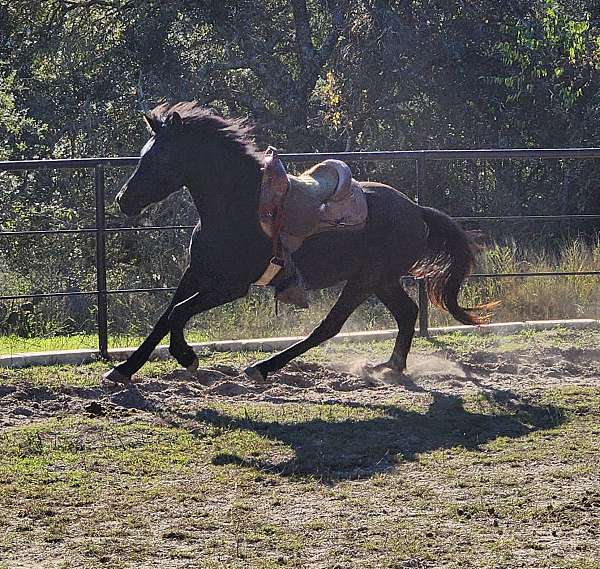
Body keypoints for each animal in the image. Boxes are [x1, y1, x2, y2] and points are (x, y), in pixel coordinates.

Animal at [105, 103, 494, 382]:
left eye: (159, 157)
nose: (123, 200)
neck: (237, 207)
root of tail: (416, 209)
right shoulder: (197, 272)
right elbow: (166, 315)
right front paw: (123, 370)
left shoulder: (232, 286)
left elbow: (179, 312)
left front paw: (187, 357)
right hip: (382, 281)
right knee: (407, 312)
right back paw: (389, 366)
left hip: (365, 280)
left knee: (330, 327)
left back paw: (263, 367)